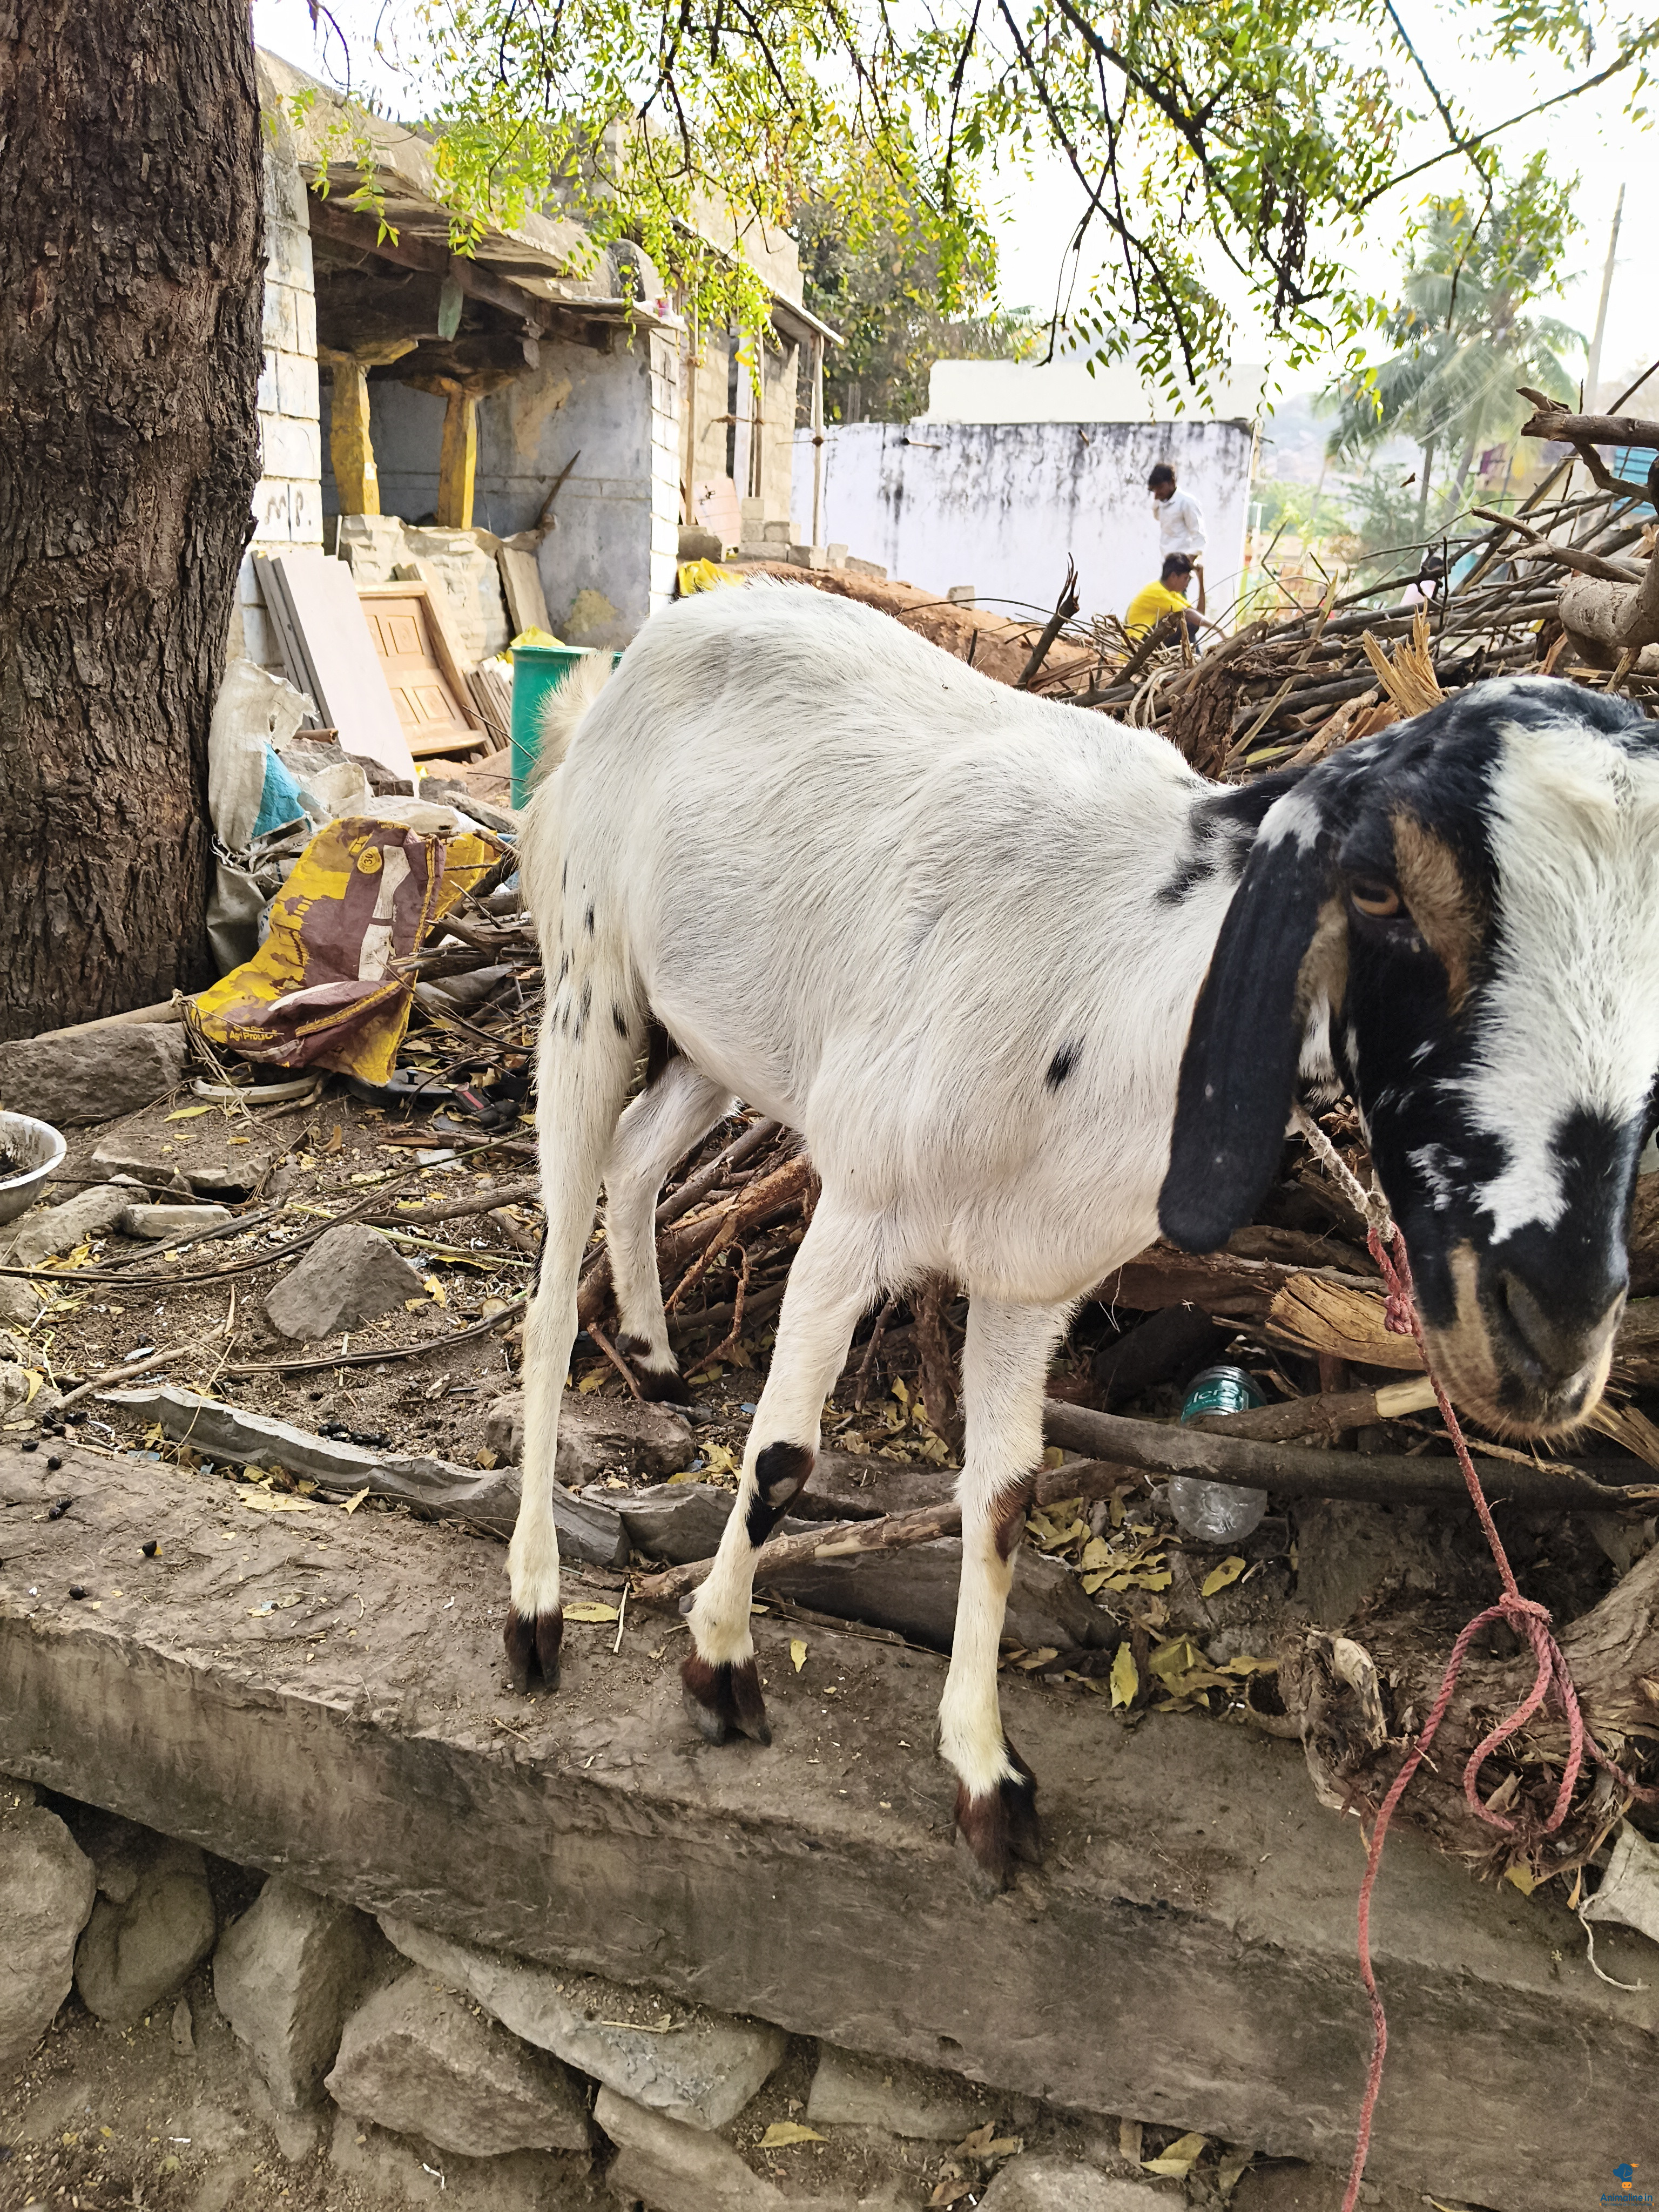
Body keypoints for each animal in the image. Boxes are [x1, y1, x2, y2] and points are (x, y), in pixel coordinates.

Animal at [508, 580, 1659, 1887]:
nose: (1551, 1331)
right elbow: (785, 1457)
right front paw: (719, 1667)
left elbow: (1006, 1496)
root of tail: (649, 644)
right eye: (1377, 889)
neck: (1112, 990)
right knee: (547, 1293)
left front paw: (983, 1774)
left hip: (719, 1035)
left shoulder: (1033, 1279)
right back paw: (535, 1605)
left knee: (639, 1159)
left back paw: (654, 1356)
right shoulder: (856, 1211)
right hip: (588, 980)